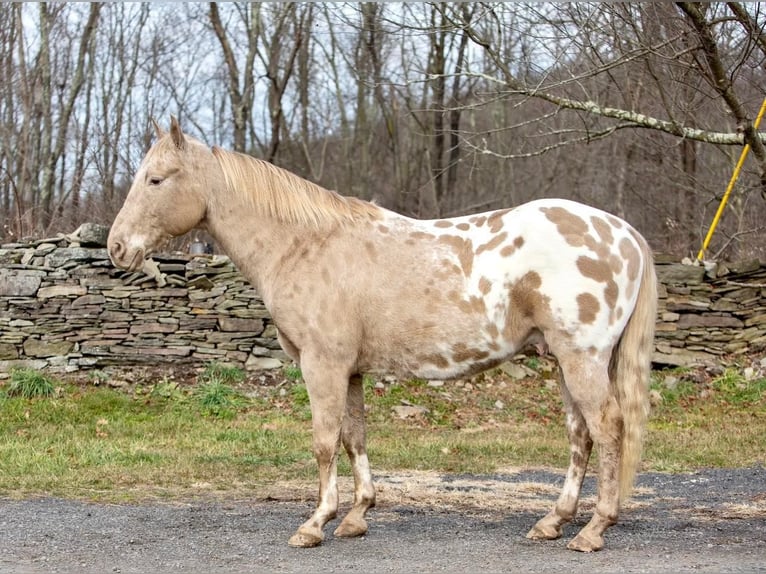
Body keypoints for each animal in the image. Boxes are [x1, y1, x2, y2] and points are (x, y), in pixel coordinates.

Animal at [108, 117, 660, 552]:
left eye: (156, 179)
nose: (116, 247)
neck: (303, 245)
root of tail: (625, 233)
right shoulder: (349, 370)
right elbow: (354, 438)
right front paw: (355, 517)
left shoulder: (322, 365)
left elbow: (324, 442)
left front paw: (315, 523)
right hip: (566, 362)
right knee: (580, 436)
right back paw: (553, 522)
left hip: (582, 359)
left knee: (608, 429)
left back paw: (593, 530)